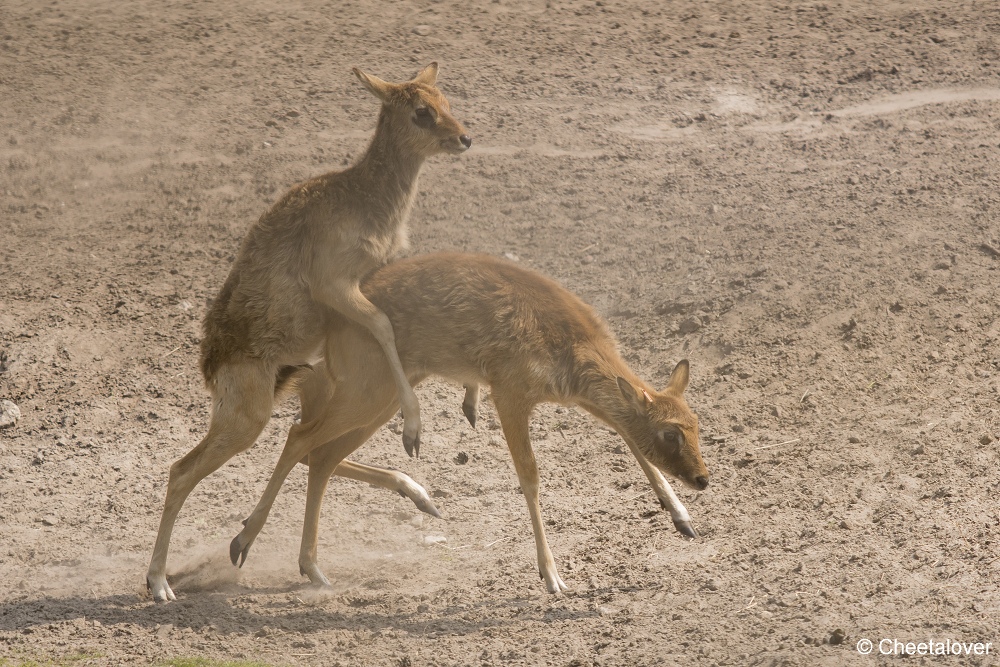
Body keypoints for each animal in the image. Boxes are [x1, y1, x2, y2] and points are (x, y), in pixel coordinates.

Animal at [146, 65, 472, 604]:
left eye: (446, 98)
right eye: (420, 111)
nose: (465, 138)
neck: (363, 200)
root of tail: (210, 365)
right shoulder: (337, 284)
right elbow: (383, 325)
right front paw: (414, 429)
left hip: (306, 391)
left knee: (308, 448)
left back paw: (414, 500)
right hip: (247, 419)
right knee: (184, 470)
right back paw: (163, 581)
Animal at [227, 254, 712, 596]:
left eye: (696, 424)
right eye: (670, 433)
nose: (703, 479)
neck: (571, 345)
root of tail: (329, 328)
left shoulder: (581, 400)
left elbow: (628, 437)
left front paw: (684, 521)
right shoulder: (510, 392)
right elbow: (530, 477)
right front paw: (552, 577)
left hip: (383, 397)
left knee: (322, 455)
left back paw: (316, 566)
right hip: (367, 390)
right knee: (299, 437)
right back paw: (243, 543)